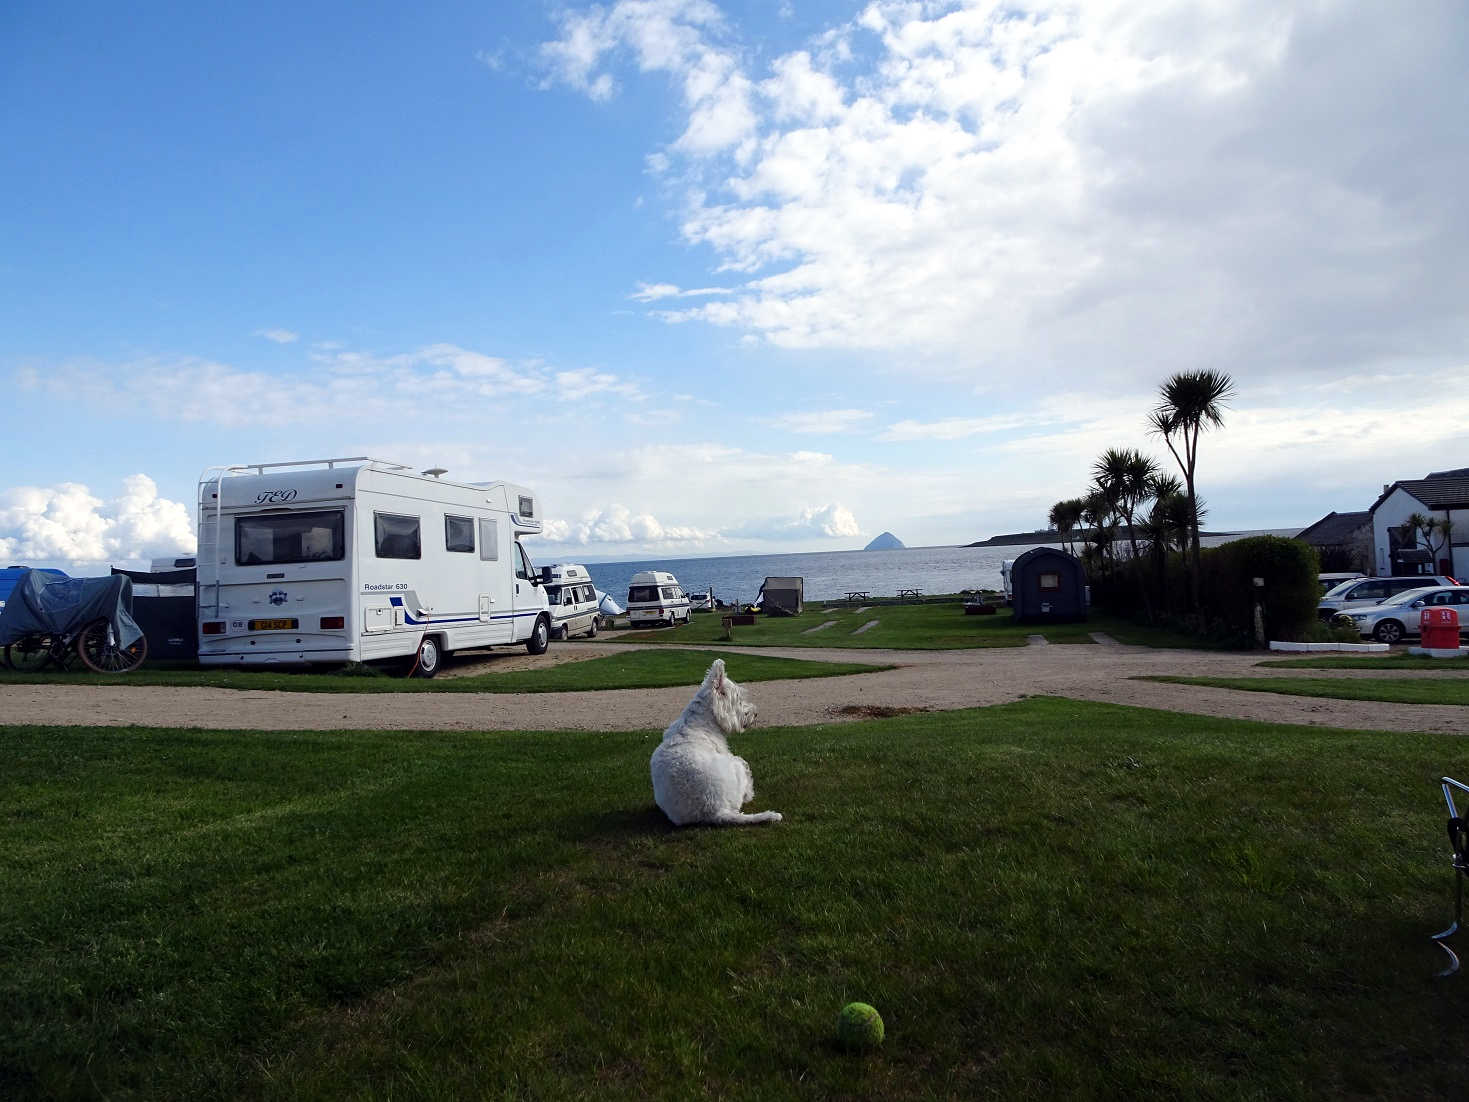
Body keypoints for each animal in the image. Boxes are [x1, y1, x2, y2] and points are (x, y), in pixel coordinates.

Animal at [649, 655, 781, 828]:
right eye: (738, 699)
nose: (756, 713)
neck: (702, 720)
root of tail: (716, 811)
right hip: (736, 769)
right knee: (744, 782)